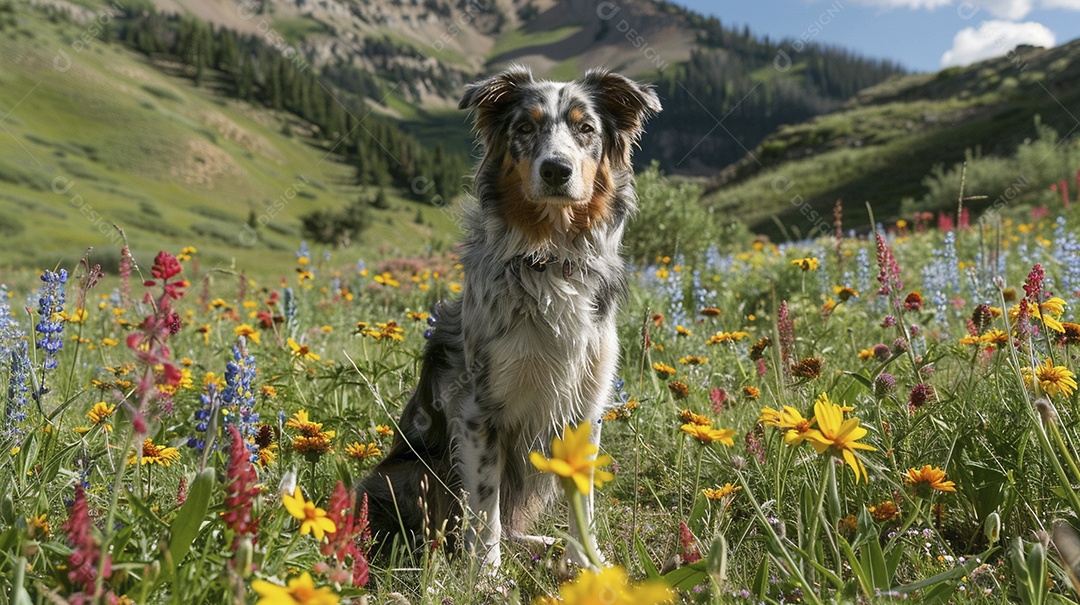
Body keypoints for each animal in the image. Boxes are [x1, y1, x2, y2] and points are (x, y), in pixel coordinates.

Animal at [354, 63, 656, 570]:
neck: (551, 257)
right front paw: (487, 578)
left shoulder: (586, 405)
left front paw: (587, 568)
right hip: (413, 474)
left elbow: (583, 505)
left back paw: (543, 545)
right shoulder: (479, 408)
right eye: (525, 129)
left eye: (586, 129)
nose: (556, 169)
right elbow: (485, 511)